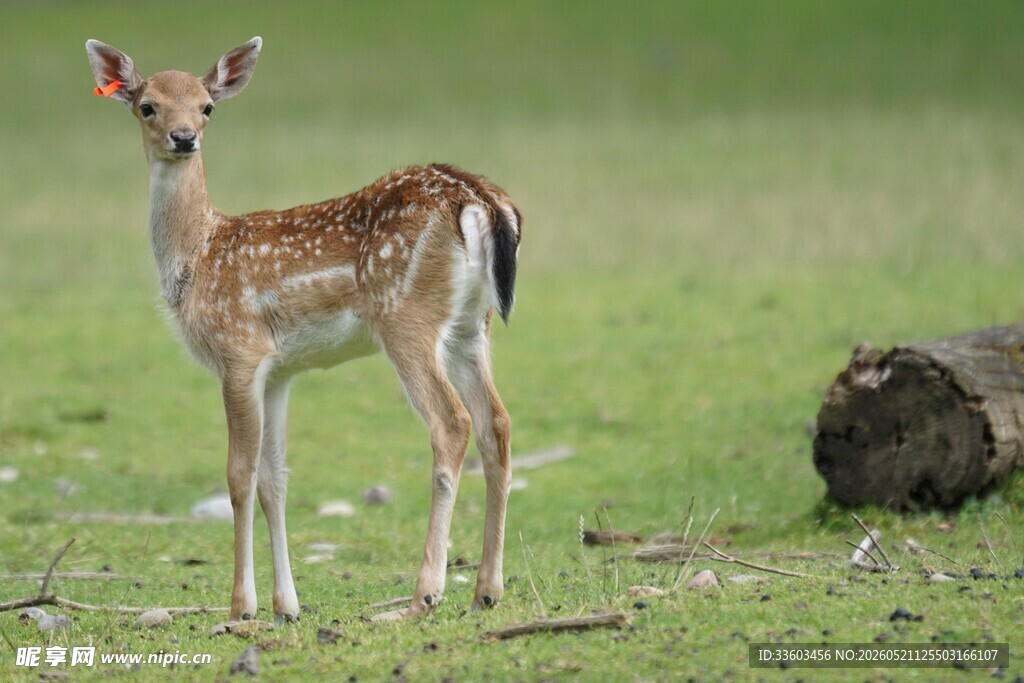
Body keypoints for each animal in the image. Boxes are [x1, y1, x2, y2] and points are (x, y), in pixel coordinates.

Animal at [85, 37, 520, 623]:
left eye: (207, 107)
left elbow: (238, 475)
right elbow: (275, 479)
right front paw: (286, 606)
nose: (184, 138)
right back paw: (486, 590)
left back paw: (423, 595)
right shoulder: (280, 370)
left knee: (451, 423)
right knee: (497, 422)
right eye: (147, 106)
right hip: (473, 325)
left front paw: (240, 606)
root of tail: (479, 199)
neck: (198, 257)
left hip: (406, 316)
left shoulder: (238, 350)